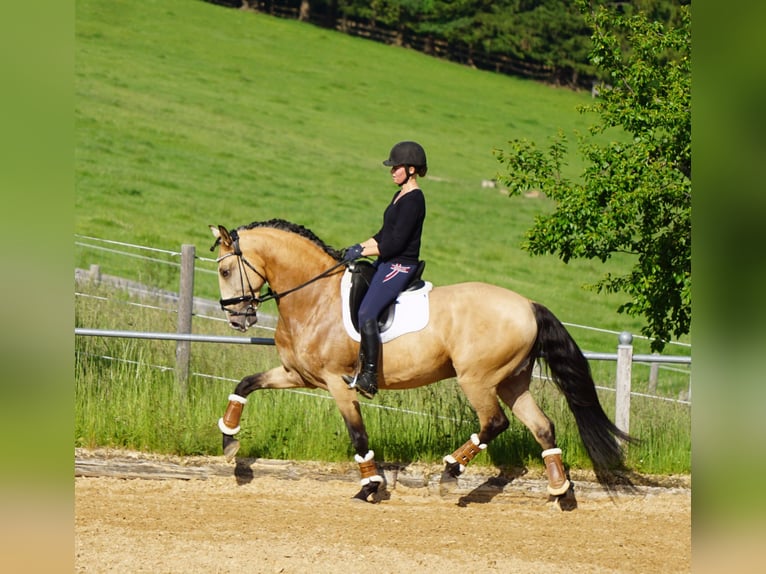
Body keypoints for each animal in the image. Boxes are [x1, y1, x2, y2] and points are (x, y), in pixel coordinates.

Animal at [210, 220, 636, 504]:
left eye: (225, 270)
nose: (237, 319)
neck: (314, 297)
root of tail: (528, 305)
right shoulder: (296, 374)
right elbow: (245, 383)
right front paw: (229, 441)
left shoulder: (336, 382)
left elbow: (358, 434)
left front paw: (370, 486)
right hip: (512, 381)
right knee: (542, 426)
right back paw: (560, 490)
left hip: (477, 379)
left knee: (494, 422)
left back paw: (450, 472)